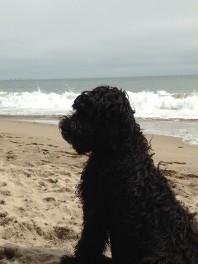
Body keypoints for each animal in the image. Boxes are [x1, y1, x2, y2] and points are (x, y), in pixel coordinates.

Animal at [59, 86, 198, 264]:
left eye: (87, 112)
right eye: (77, 109)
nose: (64, 125)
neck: (121, 150)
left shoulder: (97, 209)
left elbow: (89, 239)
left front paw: (77, 259)